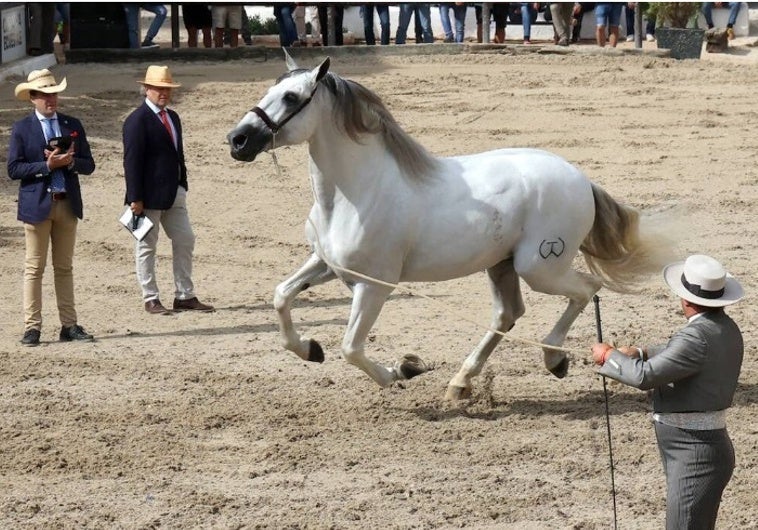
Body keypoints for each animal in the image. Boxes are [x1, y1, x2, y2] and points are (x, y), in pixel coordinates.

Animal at [227, 53, 676, 398]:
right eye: (269, 89)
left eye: (291, 96)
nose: (237, 140)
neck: (355, 194)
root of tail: (582, 179)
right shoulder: (325, 264)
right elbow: (281, 297)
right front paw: (310, 349)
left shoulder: (374, 286)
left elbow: (351, 347)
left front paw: (402, 370)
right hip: (501, 265)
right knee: (507, 315)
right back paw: (461, 383)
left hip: (539, 267)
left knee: (586, 289)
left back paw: (554, 358)